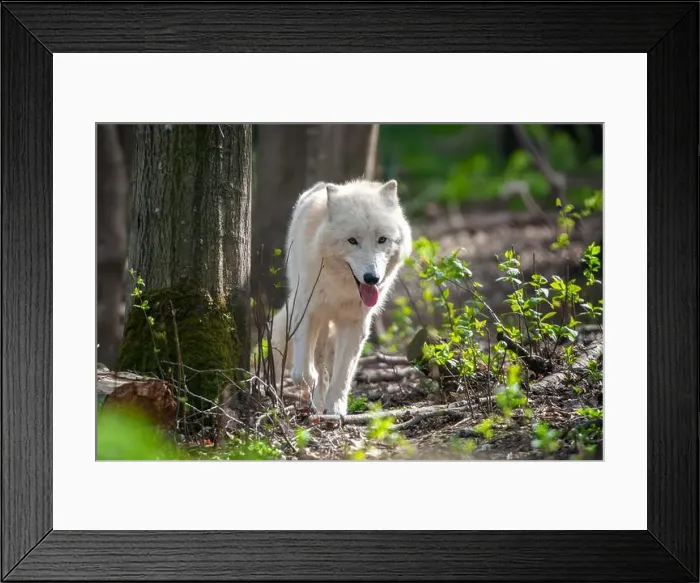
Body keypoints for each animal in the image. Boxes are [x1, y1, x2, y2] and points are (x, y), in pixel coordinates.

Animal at [269, 178, 413, 415]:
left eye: (382, 239)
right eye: (352, 241)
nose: (371, 278)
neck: (340, 289)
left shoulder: (354, 323)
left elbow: (344, 373)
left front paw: (335, 408)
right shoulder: (306, 311)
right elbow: (303, 373)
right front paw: (315, 391)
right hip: (318, 320)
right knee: (317, 362)